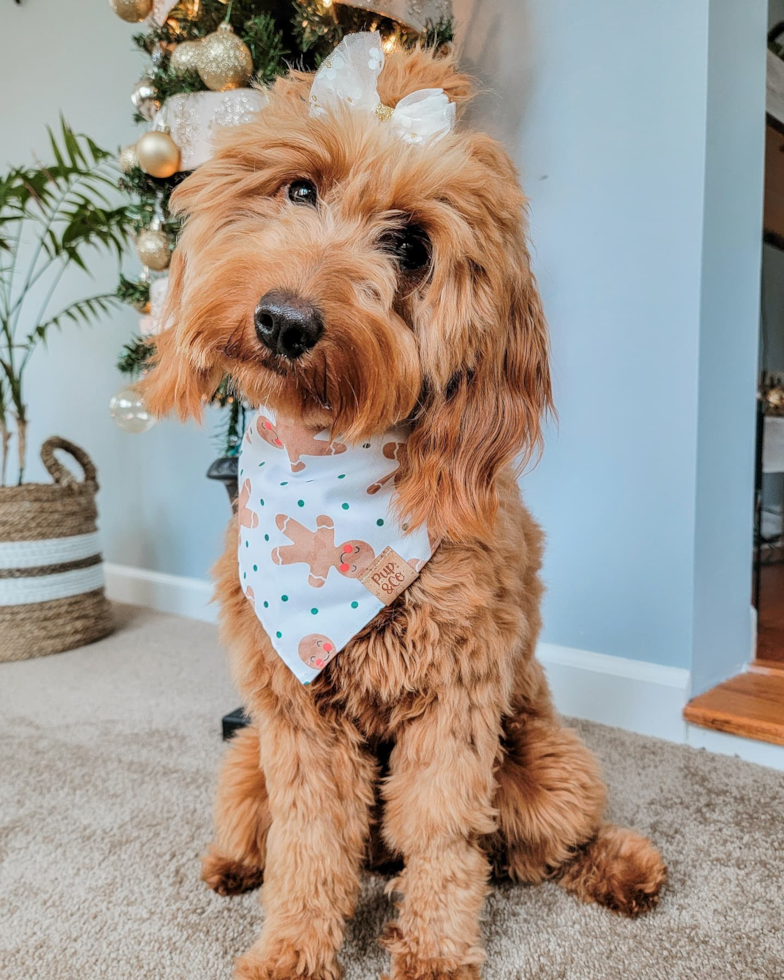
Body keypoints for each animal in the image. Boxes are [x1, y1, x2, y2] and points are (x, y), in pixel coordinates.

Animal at [142, 32, 668, 980]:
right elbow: (310, 841)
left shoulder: (455, 699)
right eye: (299, 189)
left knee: (539, 849)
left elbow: (446, 835)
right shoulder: (296, 718)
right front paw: (291, 949)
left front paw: (434, 951)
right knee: (267, 832)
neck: (328, 469)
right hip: (245, 762)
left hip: (548, 767)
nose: (284, 321)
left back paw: (622, 866)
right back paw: (233, 868)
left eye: (411, 246)